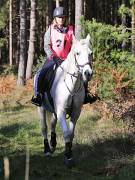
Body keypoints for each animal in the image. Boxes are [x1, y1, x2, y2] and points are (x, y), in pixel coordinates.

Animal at [35, 34, 93, 167]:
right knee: (44, 127)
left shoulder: (76, 111)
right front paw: (68, 157)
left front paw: (68, 151)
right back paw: (47, 149)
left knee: (52, 124)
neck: (72, 84)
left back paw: (53, 144)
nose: (88, 73)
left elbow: (71, 134)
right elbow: (66, 132)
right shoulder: (61, 110)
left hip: (54, 111)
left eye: (90, 53)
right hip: (41, 108)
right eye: (77, 53)